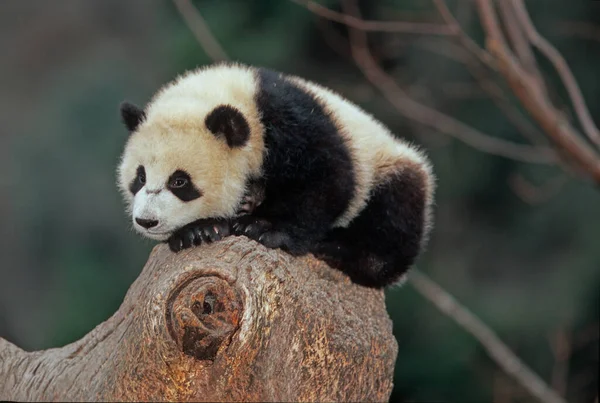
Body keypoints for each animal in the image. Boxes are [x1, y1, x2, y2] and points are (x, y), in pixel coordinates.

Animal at [117, 62, 436, 288]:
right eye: (140, 177)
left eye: (179, 181)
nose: (146, 220)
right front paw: (198, 232)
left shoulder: (290, 121)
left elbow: (328, 180)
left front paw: (265, 227)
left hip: (386, 164)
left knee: (392, 214)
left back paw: (341, 250)